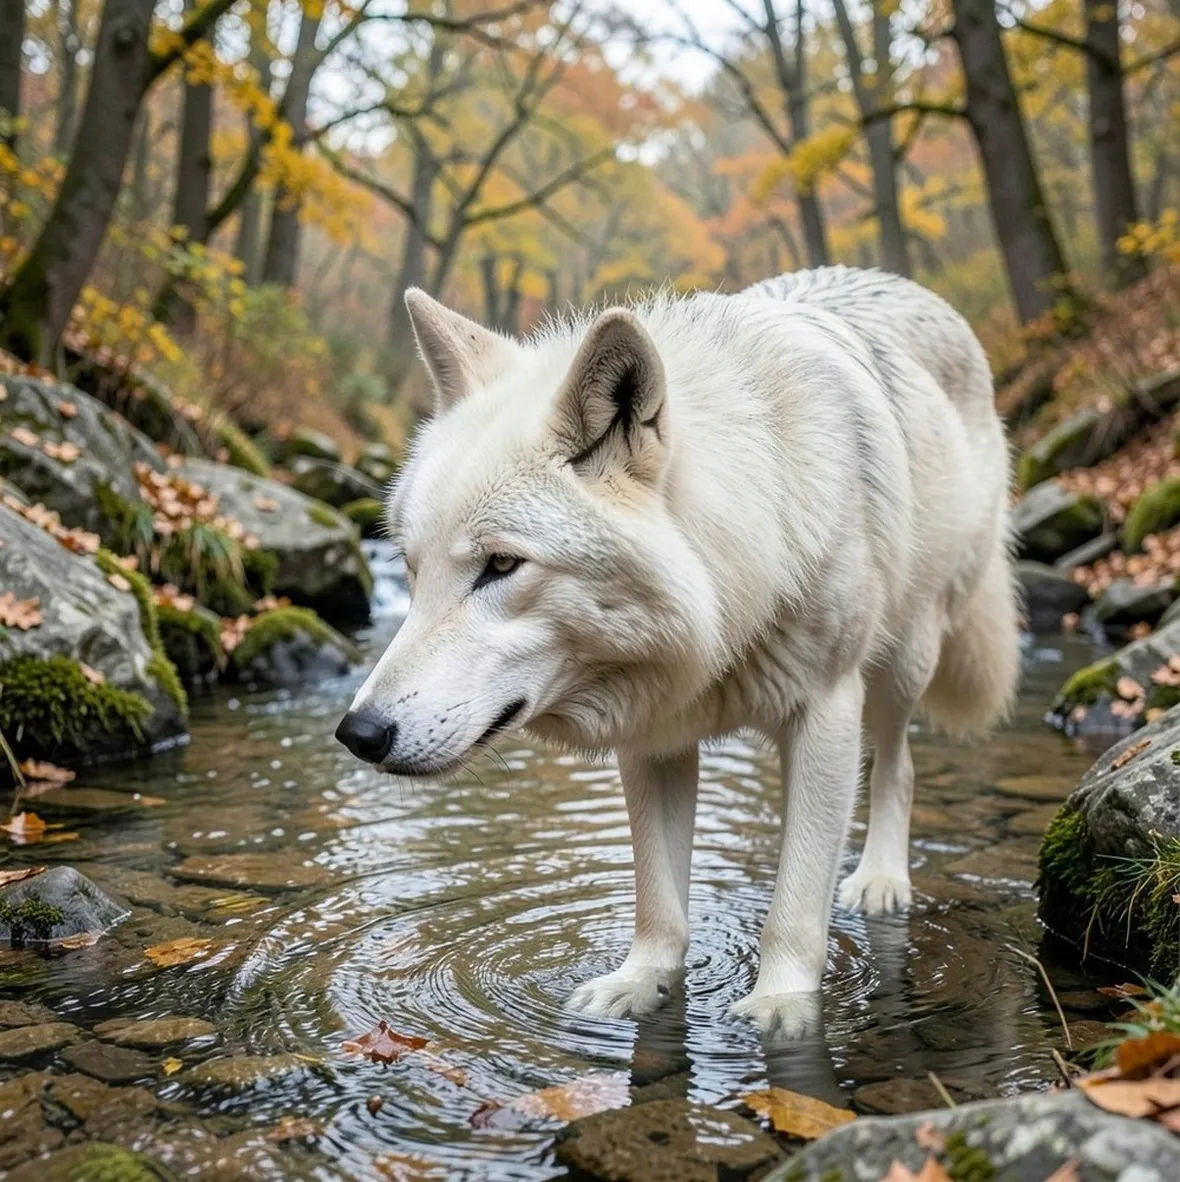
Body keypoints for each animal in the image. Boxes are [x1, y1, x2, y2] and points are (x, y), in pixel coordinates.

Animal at [336, 266, 1021, 1033]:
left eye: (502, 565)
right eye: (411, 568)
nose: (358, 733)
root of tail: (907, 287)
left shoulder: (826, 715)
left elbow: (793, 902)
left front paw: (780, 1007)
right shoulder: (651, 736)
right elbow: (658, 900)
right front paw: (640, 985)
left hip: (905, 661)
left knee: (899, 766)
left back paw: (879, 879)